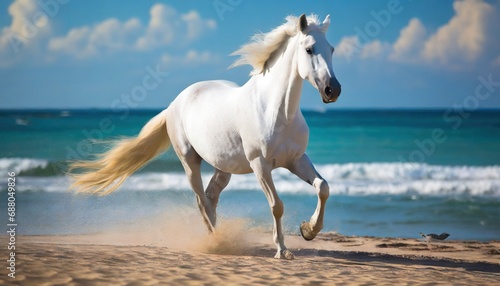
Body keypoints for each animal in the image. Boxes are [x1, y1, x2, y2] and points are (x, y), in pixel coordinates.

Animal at [70, 13, 342, 260]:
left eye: (331, 49)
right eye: (309, 49)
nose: (333, 90)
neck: (277, 112)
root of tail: (174, 104)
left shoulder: (296, 160)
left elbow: (323, 187)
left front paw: (308, 230)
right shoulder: (260, 165)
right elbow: (277, 205)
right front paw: (283, 251)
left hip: (224, 167)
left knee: (211, 198)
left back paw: (219, 236)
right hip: (190, 161)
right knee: (202, 200)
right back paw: (217, 242)